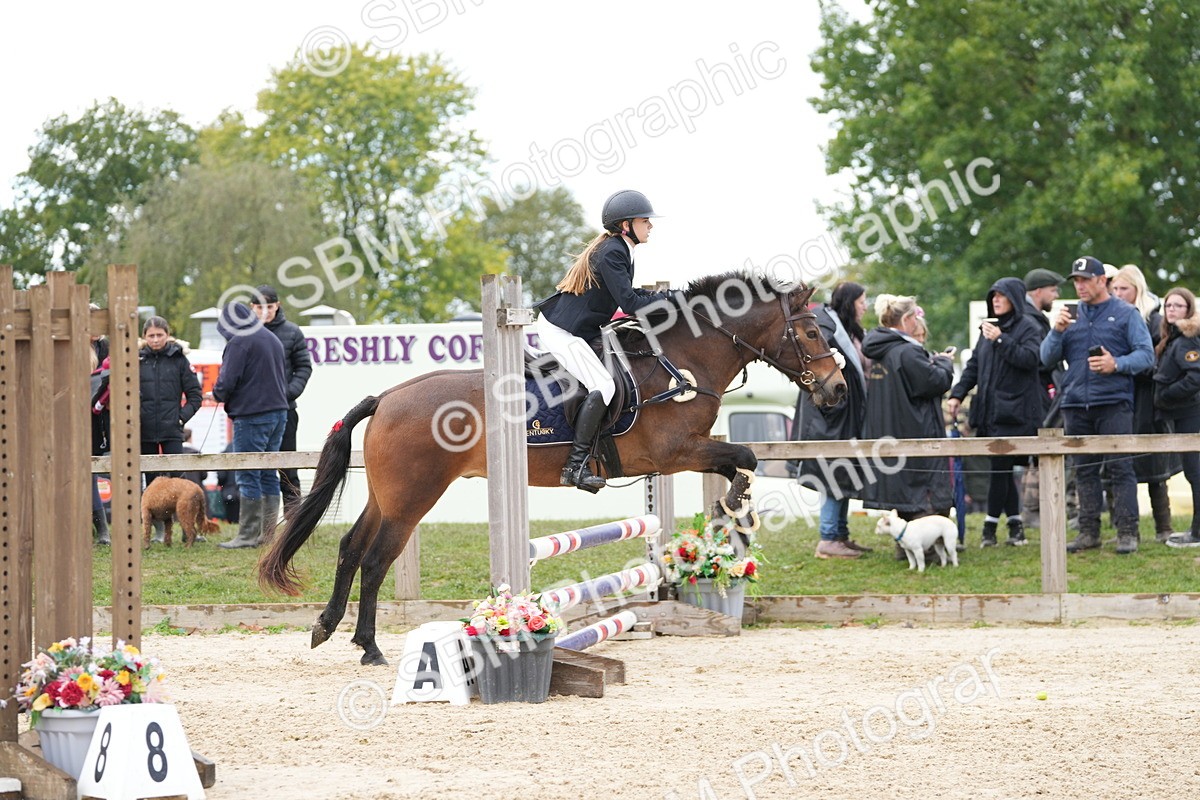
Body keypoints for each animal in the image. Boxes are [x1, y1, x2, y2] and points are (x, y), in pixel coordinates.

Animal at [258, 272, 847, 665]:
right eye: (811, 333)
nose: (838, 390)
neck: (679, 359)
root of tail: (386, 397)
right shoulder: (675, 452)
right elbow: (744, 459)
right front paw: (738, 502)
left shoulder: (680, 455)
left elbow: (738, 462)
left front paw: (733, 515)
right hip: (412, 498)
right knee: (377, 559)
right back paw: (371, 647)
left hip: (387, 495)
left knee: (350, 547)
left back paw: (330, 628)